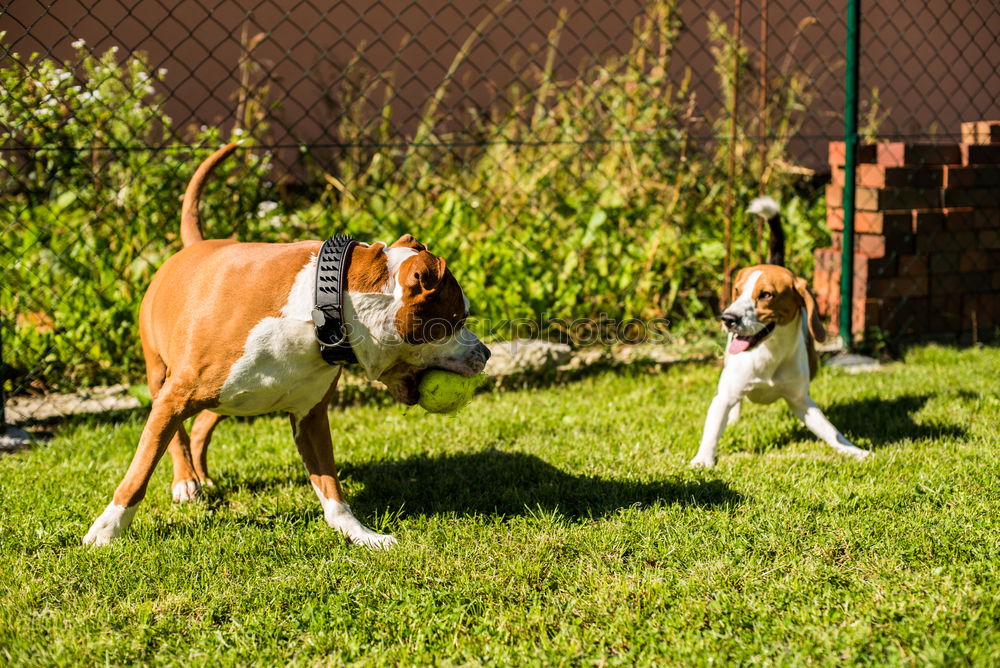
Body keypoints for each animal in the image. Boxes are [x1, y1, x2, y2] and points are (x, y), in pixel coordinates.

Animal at [84, 144, 490, 544]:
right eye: (458, 320)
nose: (485, 354)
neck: (324, 308)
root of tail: (194, 246)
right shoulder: (174, 398)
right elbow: (141, 468)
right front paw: (106, 529)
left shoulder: (311, 418)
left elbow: (330, 486)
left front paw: (360, 533)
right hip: (161, 375)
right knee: (178, 436)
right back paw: (186, 481)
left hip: (233, 396)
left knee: (202, 424)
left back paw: (202, 476)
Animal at [692, 198, 872, 468]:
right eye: (737, 291)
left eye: (766, 295)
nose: (728, 319)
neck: (769, 352)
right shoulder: (723, 398)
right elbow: (712, 430)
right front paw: (703, 460)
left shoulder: (801, 401)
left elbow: (831, 431)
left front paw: (854, 451)